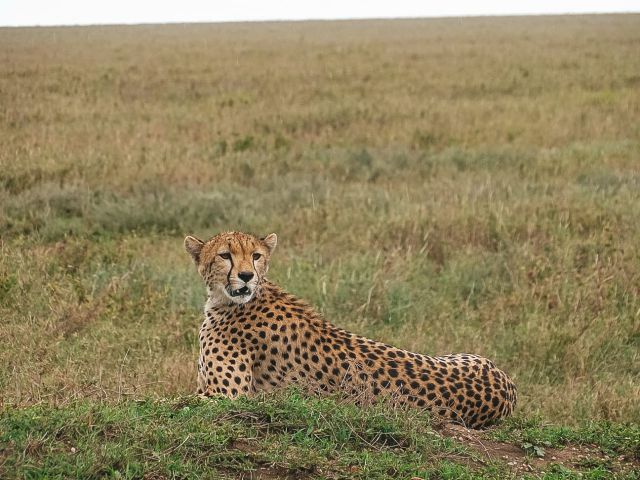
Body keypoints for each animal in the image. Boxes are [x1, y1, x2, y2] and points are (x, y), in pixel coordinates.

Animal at [184, 230, 516, 428]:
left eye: (256, 255)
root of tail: (506, 384)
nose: (246, 276)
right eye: (225, 255)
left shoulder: (228, 396)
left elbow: (176, 401)